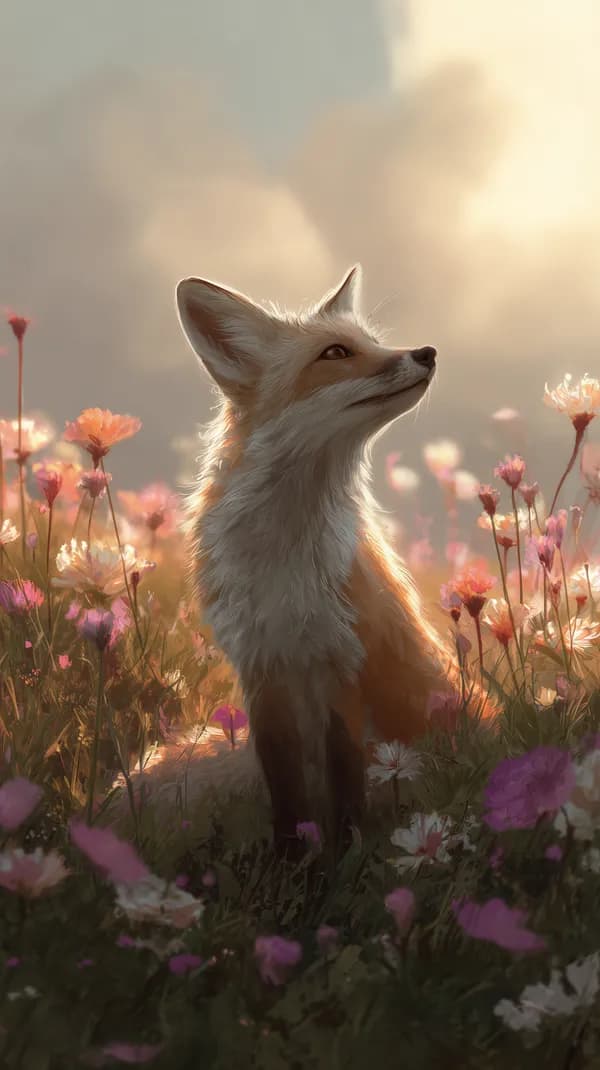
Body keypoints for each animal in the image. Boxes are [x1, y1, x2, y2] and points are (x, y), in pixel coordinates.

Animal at [138, 265, 489, 853]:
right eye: (335, 353)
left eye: (372, 343)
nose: (427, 352)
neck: (286, 557)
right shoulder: (262, 671)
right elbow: (286, 791)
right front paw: (292, 857)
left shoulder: (341, 662)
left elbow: (345, 781)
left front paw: (343, 855)